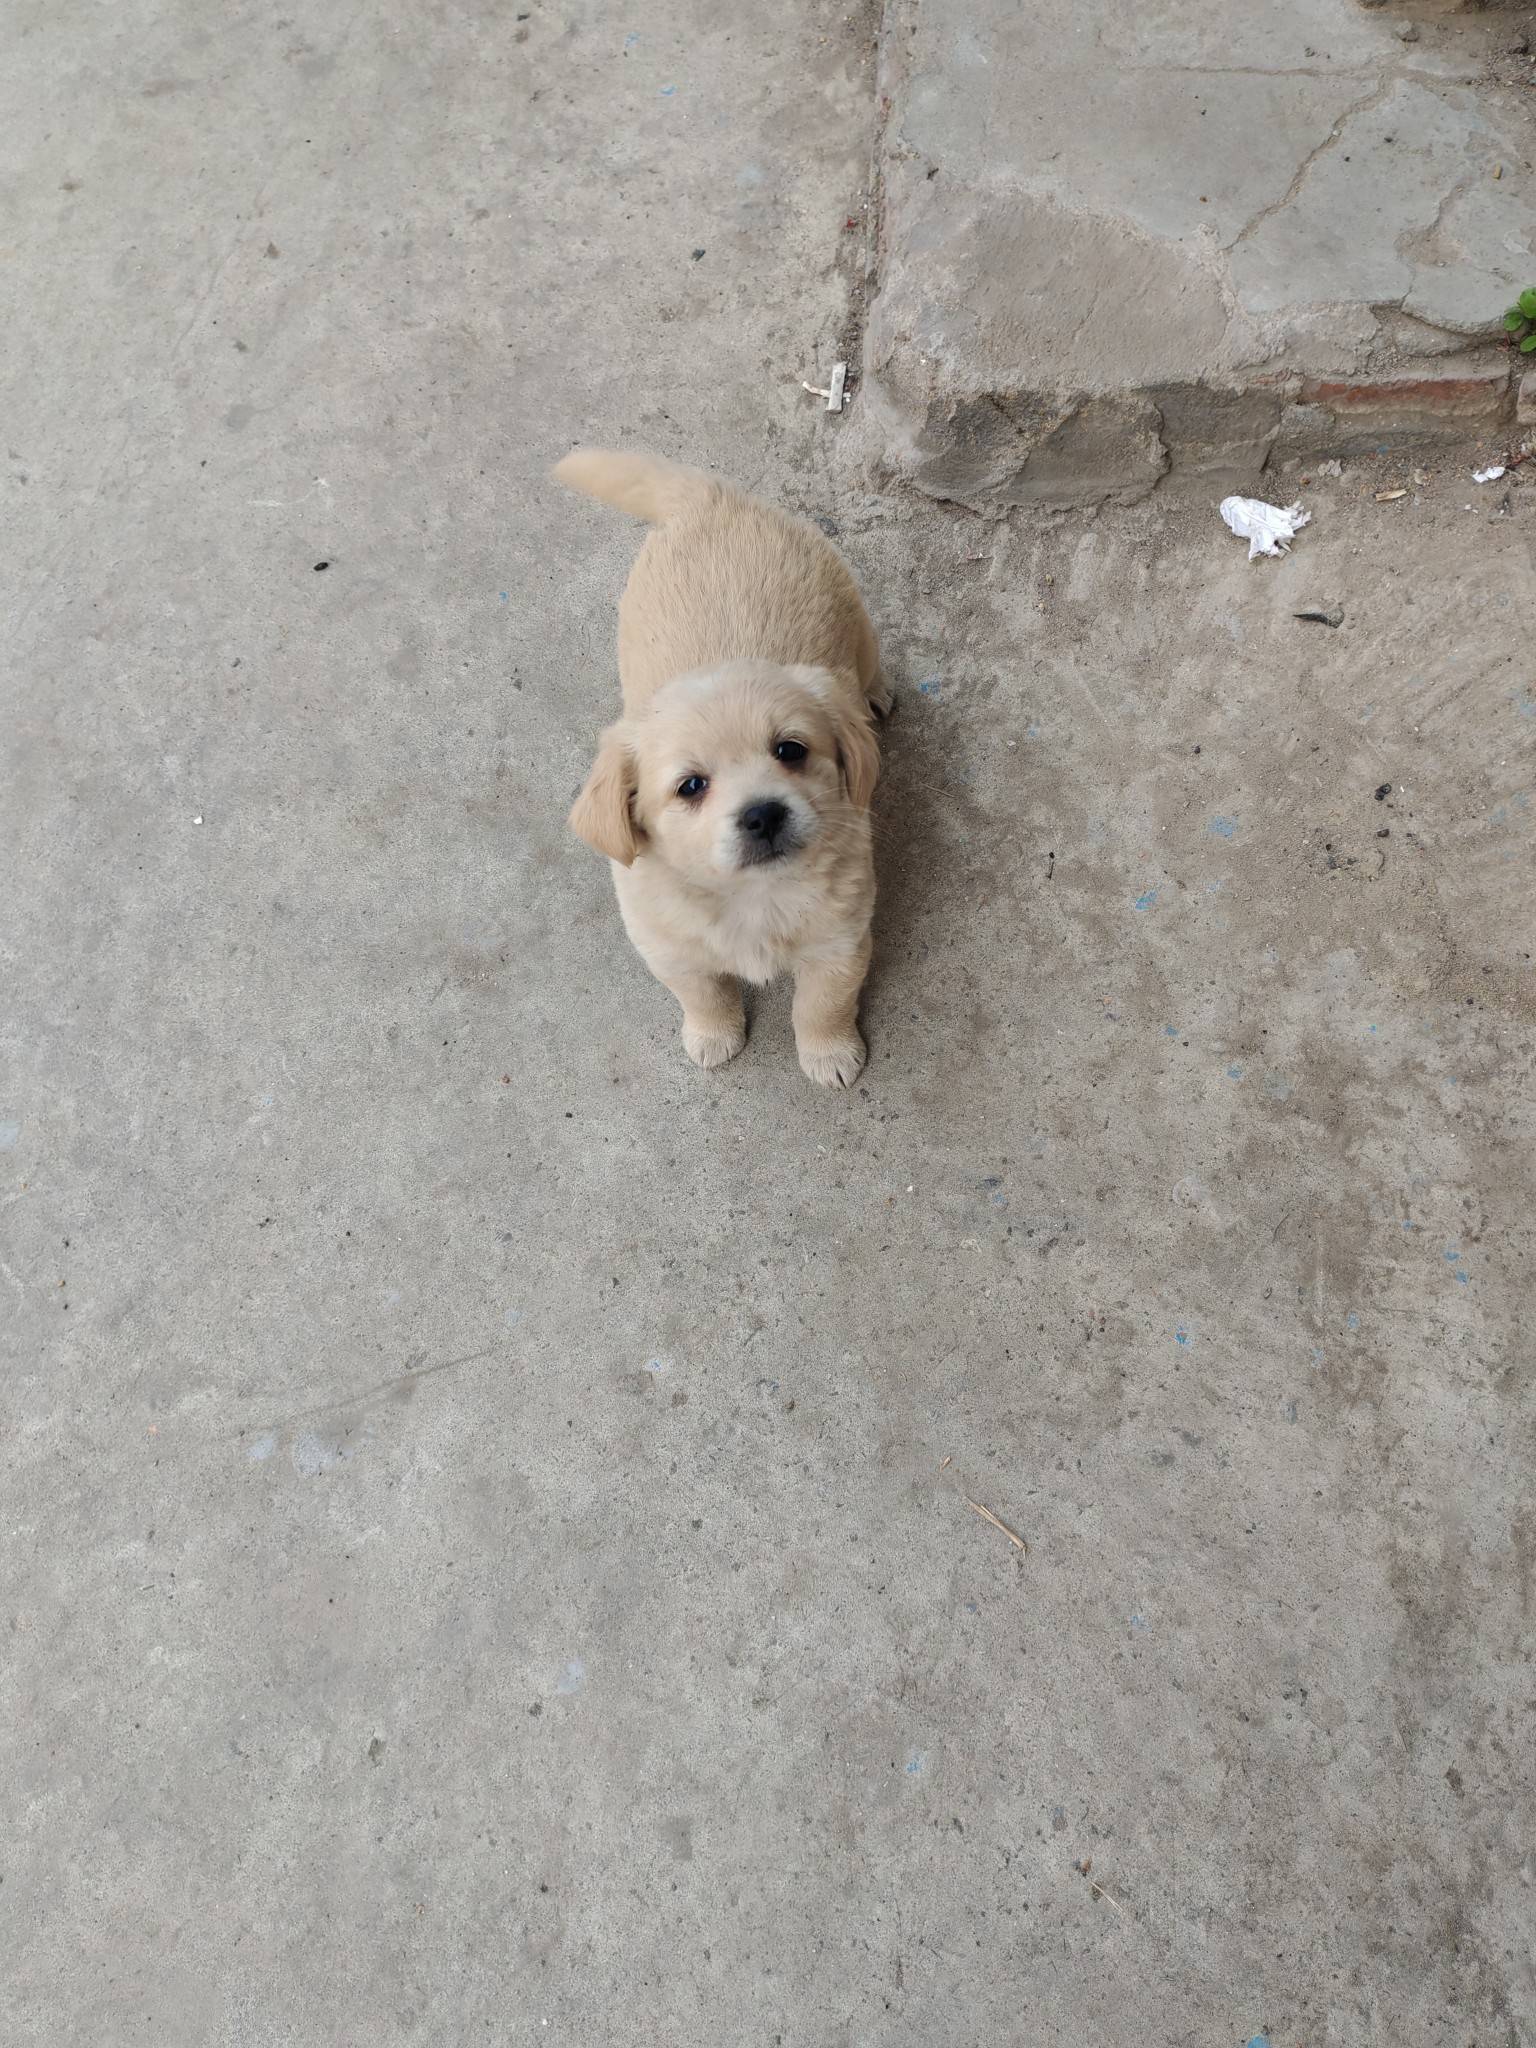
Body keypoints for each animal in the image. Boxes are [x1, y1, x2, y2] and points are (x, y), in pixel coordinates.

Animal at [556, 448, 889, 1086]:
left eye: (790, 750)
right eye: (691, 786)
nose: (763, 815)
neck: (749, 897)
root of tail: (709, 497)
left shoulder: (839, 944)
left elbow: (822, 1004)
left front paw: (829, 1053)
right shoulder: (671, 951)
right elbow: (704, 995)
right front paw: (713, 1036)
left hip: (857, 622)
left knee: (870, 659)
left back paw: (878, 695)